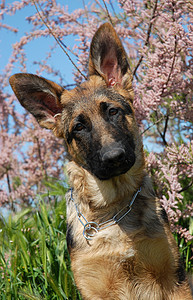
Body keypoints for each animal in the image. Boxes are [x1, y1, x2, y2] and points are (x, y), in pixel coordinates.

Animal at [9, 22, 193, 298]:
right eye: (79, 128)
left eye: (113, 112)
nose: (114, 157)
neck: (115, 207)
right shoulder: (94, 287)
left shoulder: (174, 280)